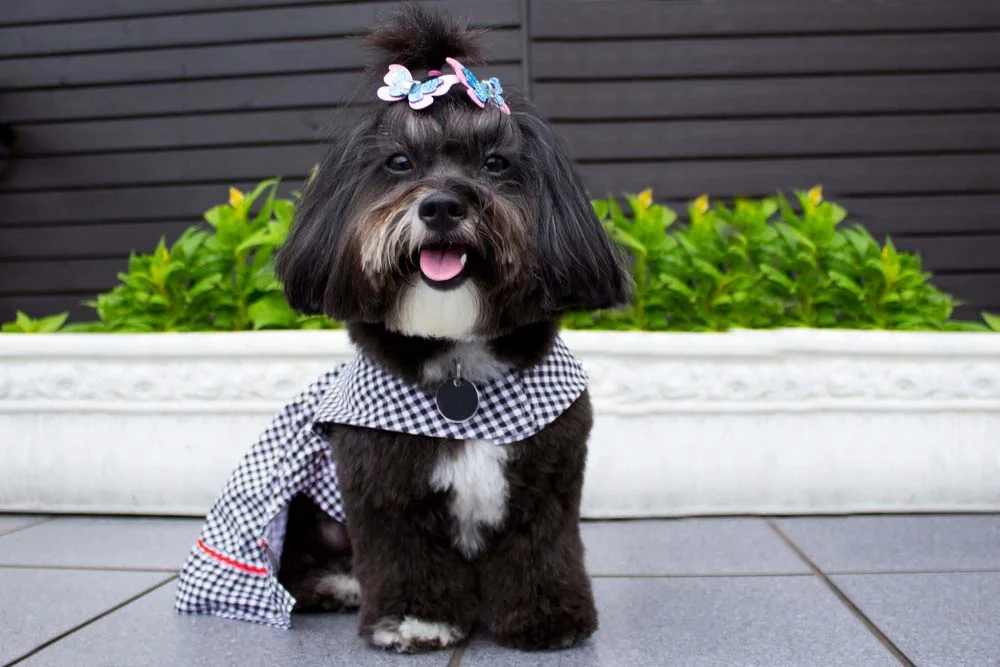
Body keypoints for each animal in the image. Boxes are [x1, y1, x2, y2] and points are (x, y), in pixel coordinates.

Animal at [272, 3, 632, 652]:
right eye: (398, 162)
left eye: (495, 163)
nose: (441, 206)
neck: (458, 351)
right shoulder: (383, 486)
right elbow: (406, 556)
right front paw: (416, 621)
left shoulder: (548, 478)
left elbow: (542, 550)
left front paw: (548, 618)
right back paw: (341, 586)